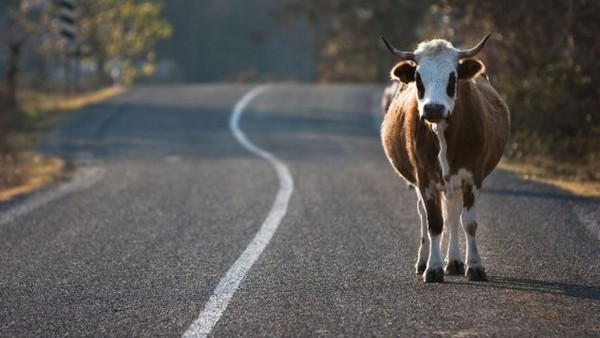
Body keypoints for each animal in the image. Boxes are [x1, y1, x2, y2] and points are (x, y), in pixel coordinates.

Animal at [380, 34, 510, 282]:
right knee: (426, 215)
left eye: (453, 77)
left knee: (453, 214)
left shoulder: (473, 176)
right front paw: (433, 267)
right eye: (418, 78)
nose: (433, 108)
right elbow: (434, 223)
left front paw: (475, 265)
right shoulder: (425, 179)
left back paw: (455, 261)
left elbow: (468, 223)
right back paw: (424, 261)